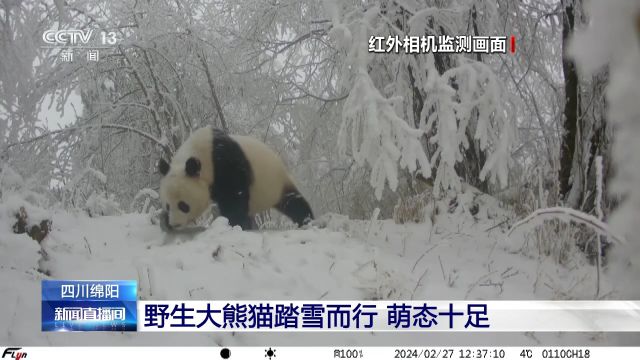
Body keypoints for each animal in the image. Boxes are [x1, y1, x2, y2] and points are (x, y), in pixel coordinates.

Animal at [158, 126, 312, 231]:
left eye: (183, 205)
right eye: (167, 205)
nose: (175, 224)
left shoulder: (224, 162)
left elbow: (234, 195)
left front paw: (236, 224)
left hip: (276, 182)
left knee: (293, 202)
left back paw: (307, 220)